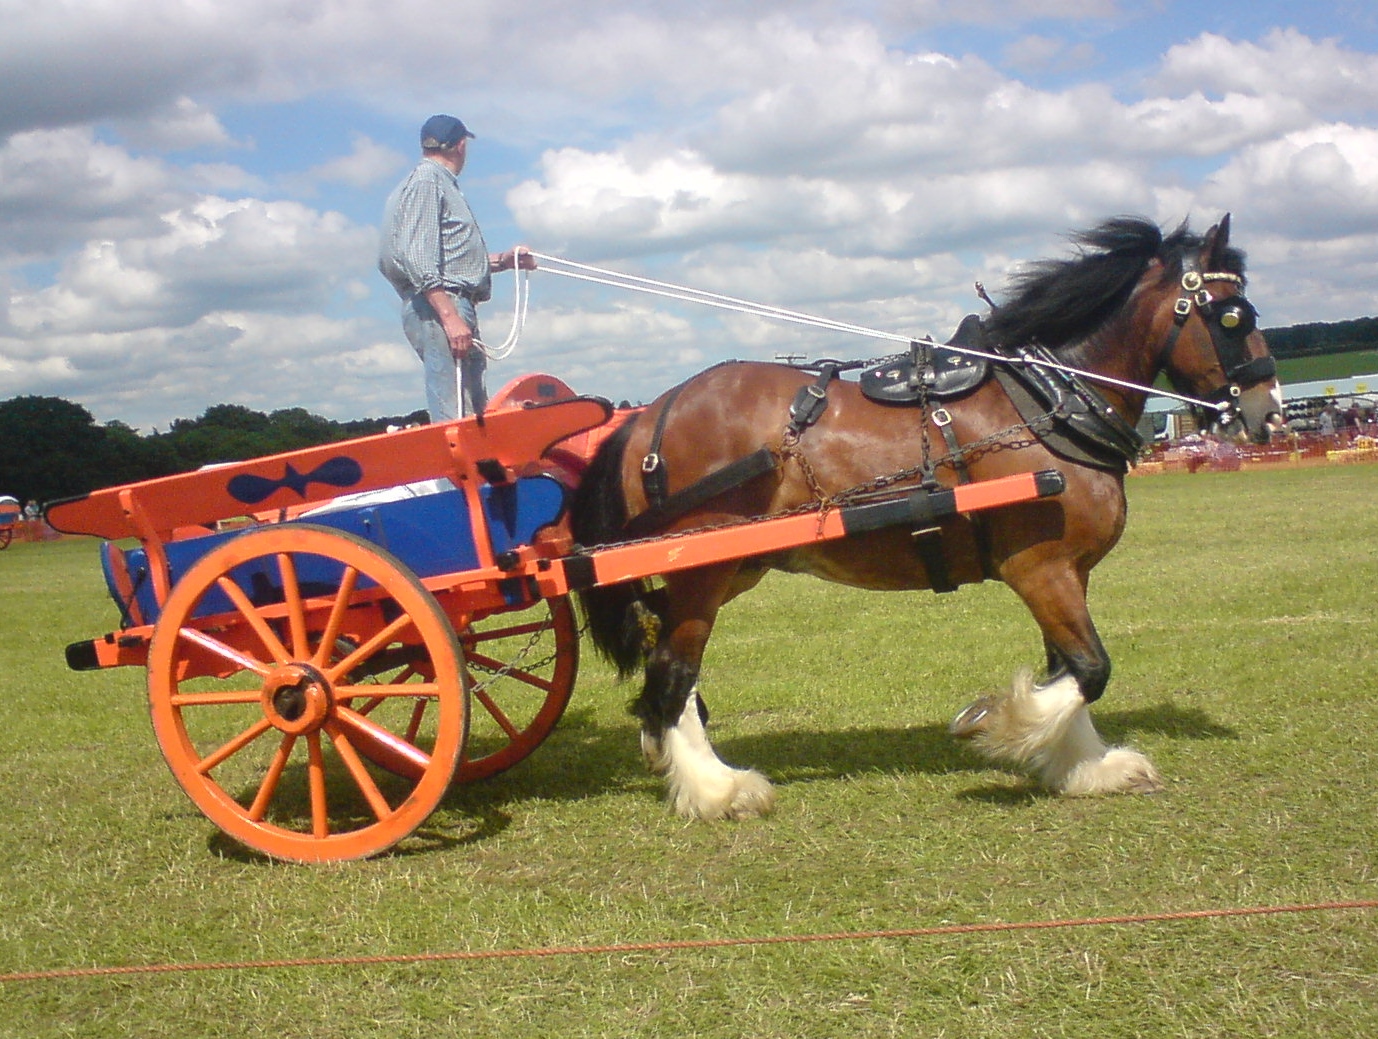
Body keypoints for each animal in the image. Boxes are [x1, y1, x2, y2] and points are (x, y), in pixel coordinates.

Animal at [568, 215, 1282, 820]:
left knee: (664, 659)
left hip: (725, 569)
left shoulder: (1065, 573)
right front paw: (996, 722)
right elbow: (1088, 670)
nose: (1269, 411)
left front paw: (1085, 766)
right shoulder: (1040, 568)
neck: (1044, 403)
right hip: (705, 571)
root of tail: (650, 415)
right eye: (1232, 314)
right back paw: (717, 789)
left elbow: (1069, 666)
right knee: (673, 671)